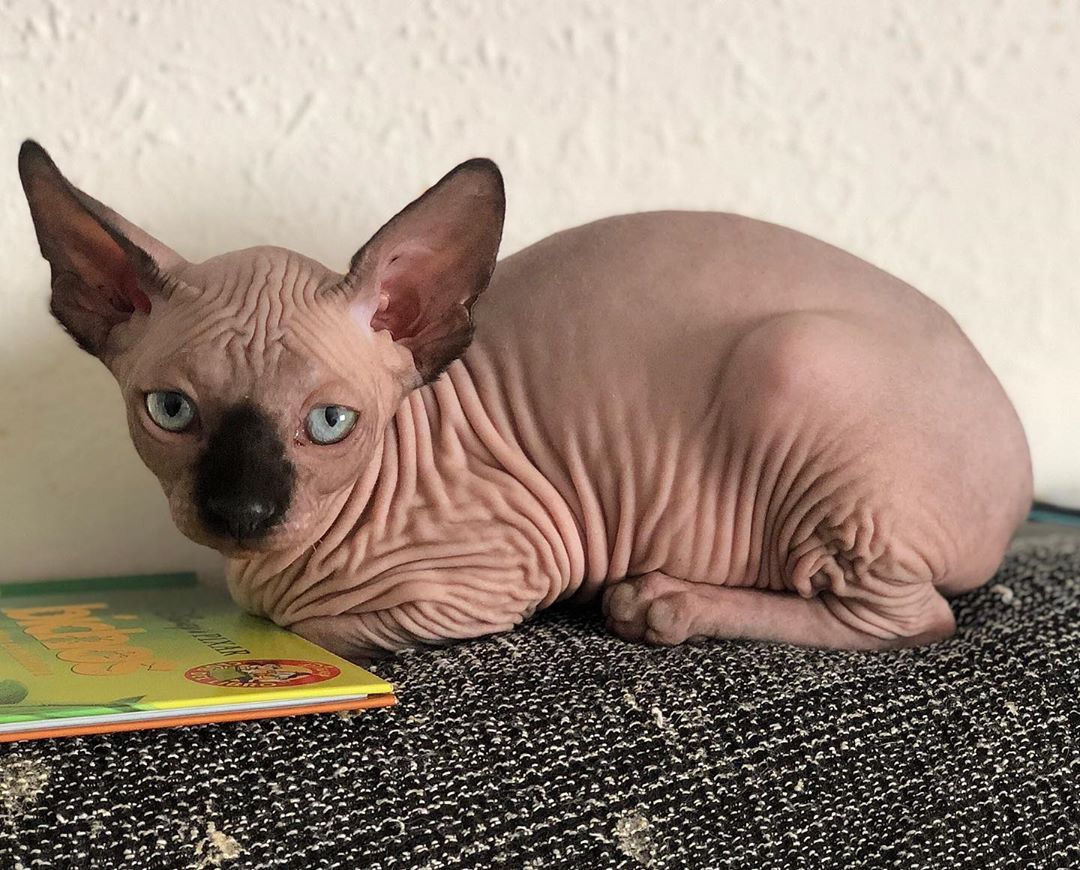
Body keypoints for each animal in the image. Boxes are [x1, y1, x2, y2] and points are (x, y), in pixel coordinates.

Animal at [16, 141, 1028, 660]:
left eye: (331, 424)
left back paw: (659, 604)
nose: (243, 510)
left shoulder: (504, 573)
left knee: (913, 620)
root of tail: (1019, 478)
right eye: (171, 412)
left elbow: (306, 625)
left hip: (798, 361)